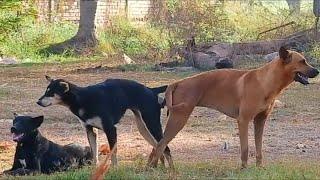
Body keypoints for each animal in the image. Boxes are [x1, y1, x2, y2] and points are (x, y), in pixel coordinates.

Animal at [37, 76, 172, 167]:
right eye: (46, 91)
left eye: (51, 93)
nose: (38, 102)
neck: (82, 98)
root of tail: (151, 90)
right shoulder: (90, 130)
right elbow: (94, 152)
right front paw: (94, 168)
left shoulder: (110, 129)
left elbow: (113, 153)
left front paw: (114, 169)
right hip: (143, 128)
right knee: (159, 147)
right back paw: (158, 168)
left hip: (152, 124)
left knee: (166, 148)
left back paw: (171, 169)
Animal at [149, 46, 318, 169]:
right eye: (302, 61)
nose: (317, 71)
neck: (265, 82)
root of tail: (178, 82)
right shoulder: (243, 120)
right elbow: (245, 148)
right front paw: (244, 168)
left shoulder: (260, 121)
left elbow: (259, 148)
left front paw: (259, 167)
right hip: (179, 118)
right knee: (161, 144)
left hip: (176, 119)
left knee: (158, 145)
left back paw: (154, 167)